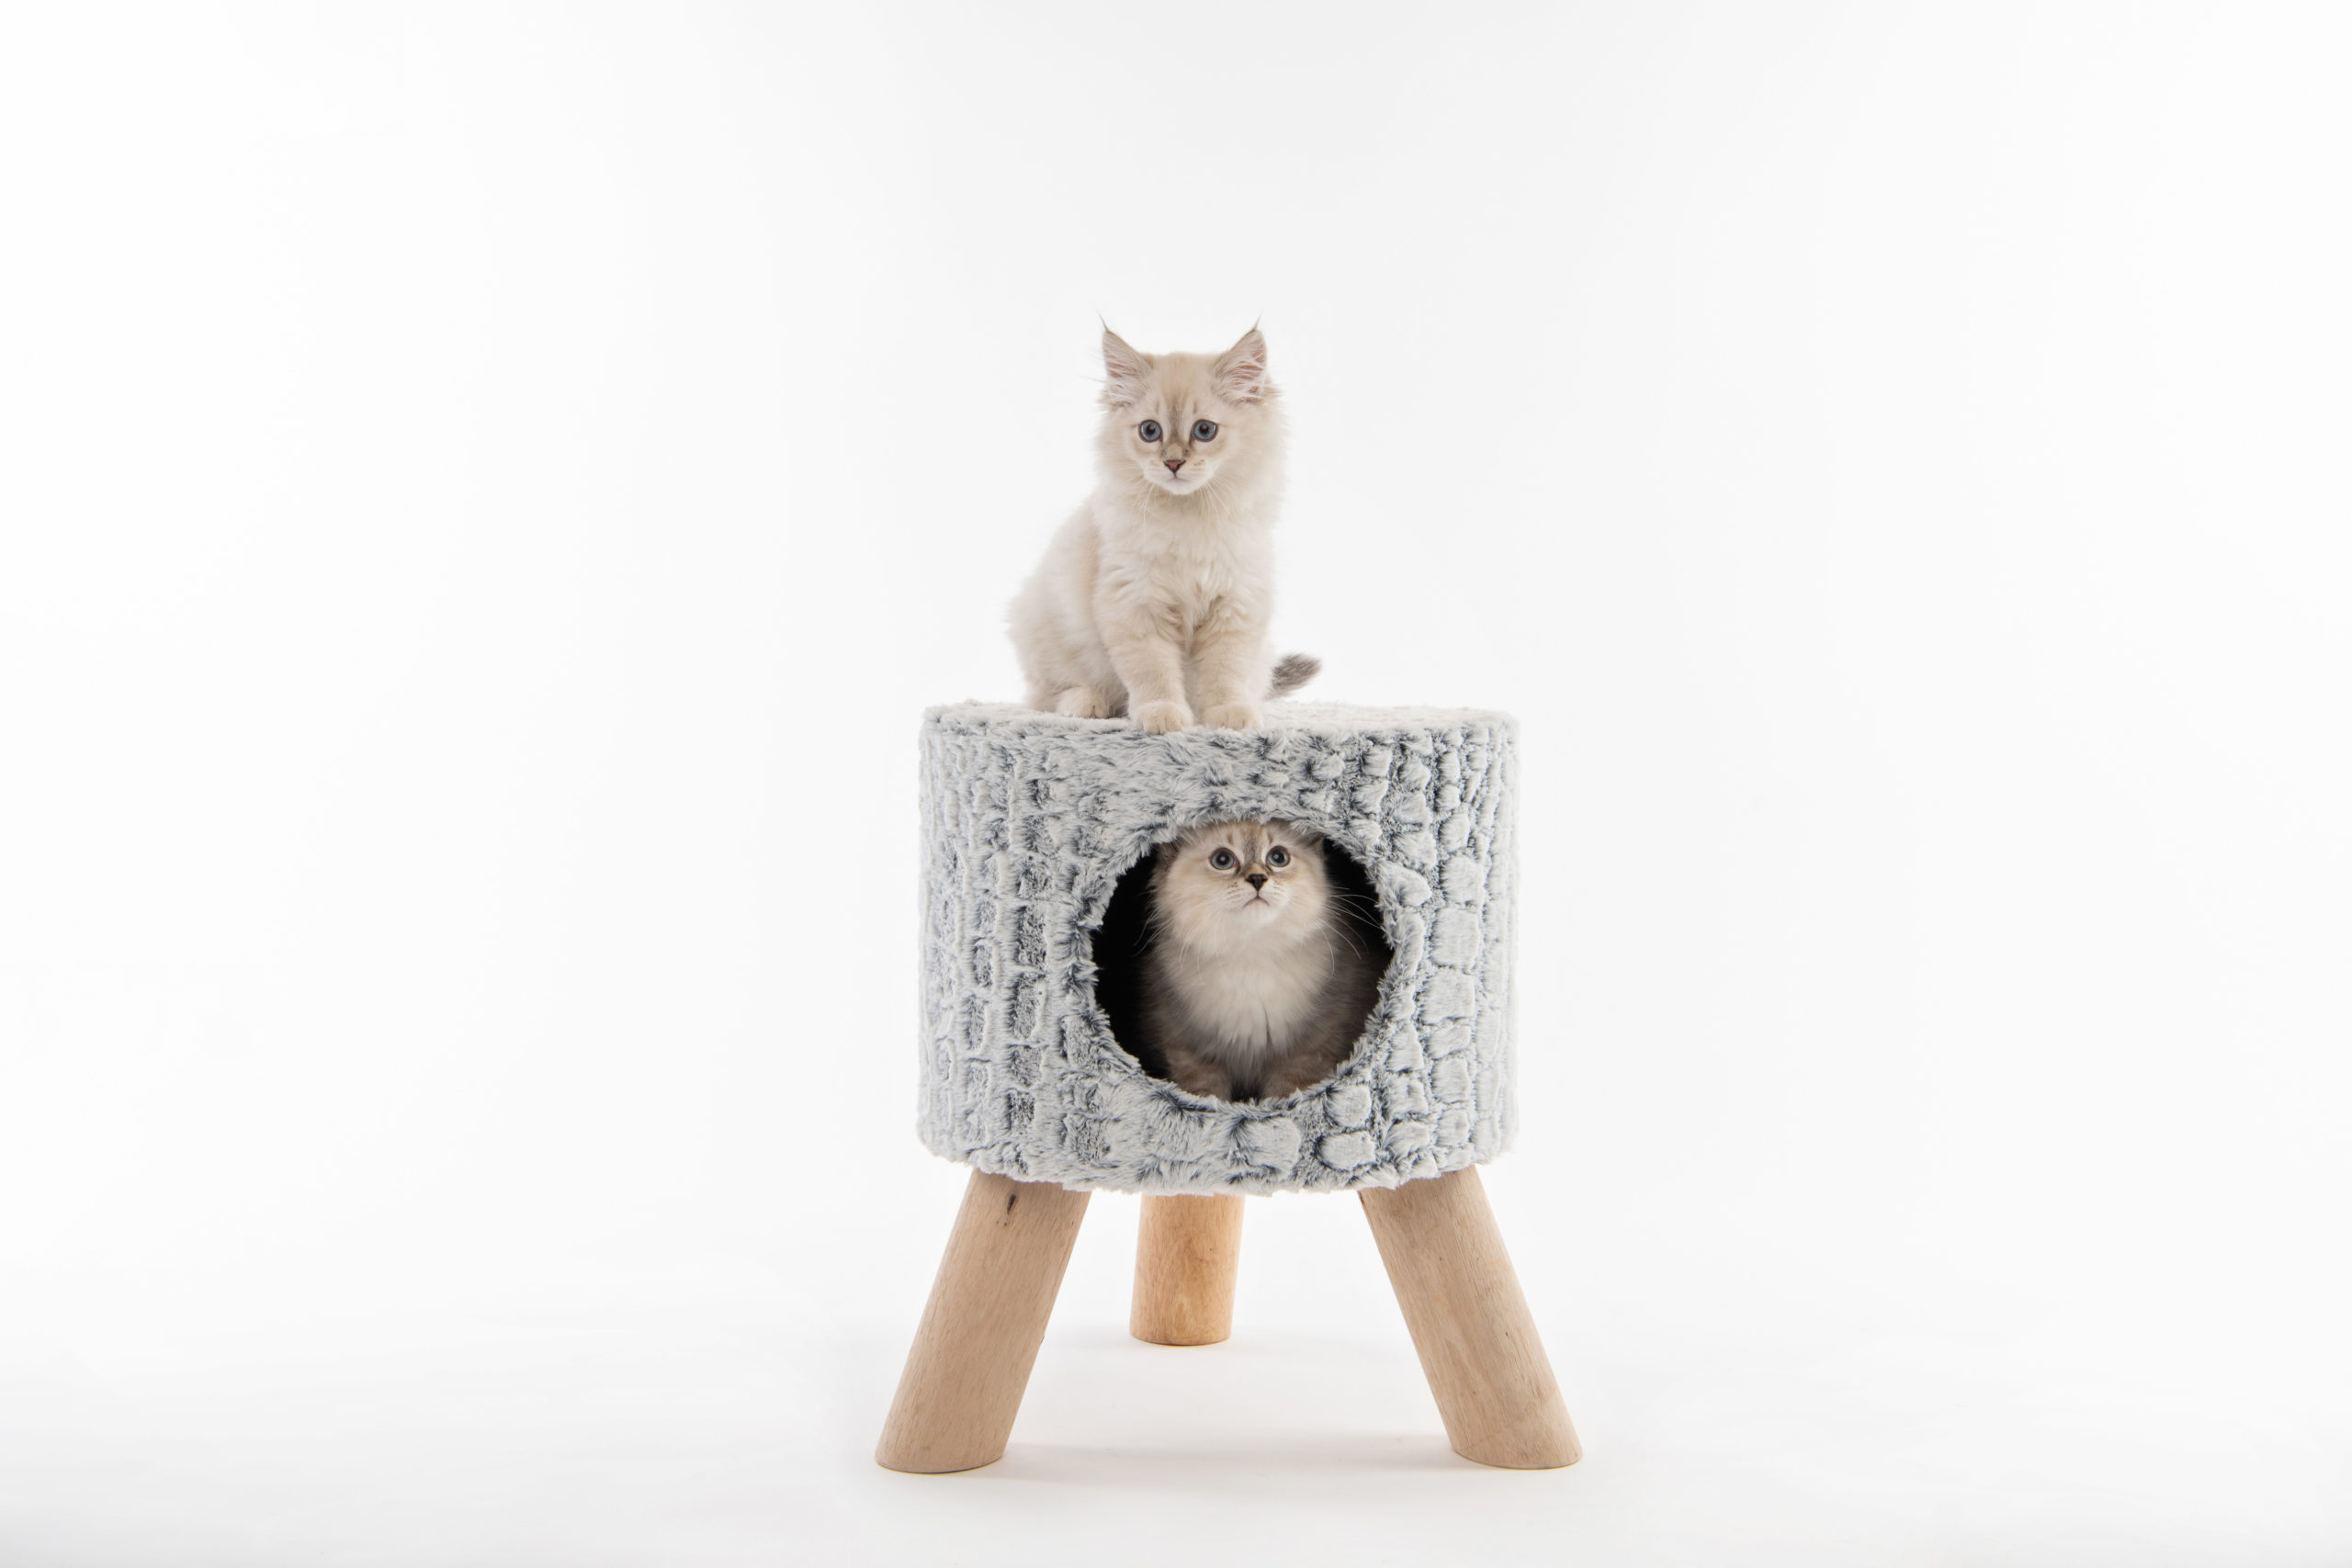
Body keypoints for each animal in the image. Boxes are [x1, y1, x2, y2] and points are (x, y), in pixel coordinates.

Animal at [1007, 325, 1317, 733]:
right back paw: (1087, 704)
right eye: (1150, 431)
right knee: (1049, 695)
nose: (1172, 463)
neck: (1188, 521)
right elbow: (1153, 672)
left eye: (1205, 430)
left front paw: (1229, 715)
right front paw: (1163, 715)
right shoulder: (1135, 602)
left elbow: (1227, 671)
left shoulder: (1235, 603)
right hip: (1045, 631)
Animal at [1136, 820, 1386, 1102]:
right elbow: (1205, 1096)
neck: (1250, 953)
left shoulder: (1309, 1050)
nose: (1257, 878)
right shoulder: (1189, 1050)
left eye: (1278, 858)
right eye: (1222, 860)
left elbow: (1287, 1095)